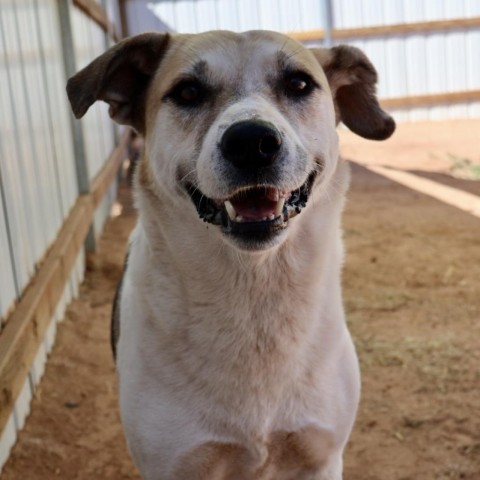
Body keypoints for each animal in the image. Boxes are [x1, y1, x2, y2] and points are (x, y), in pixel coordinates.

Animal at [68, 31, 394, 480]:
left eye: (298, 83)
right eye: (187, 92)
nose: (252, 142)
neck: (254, 297)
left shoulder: (321, 457)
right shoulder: (175, 463)